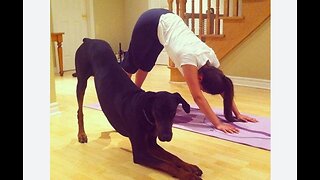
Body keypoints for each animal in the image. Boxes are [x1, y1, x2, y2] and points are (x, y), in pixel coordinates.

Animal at [75, 38, 202, 179]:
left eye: (173, 113)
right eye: (157, 112)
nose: (166, 137)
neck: (145, 114)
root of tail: (90, 40)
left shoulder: (152, 144)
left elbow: (173, 157)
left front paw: (190, 166)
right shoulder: (141, 153)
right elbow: (167, 164)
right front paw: (188, 175)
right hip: (82, 80)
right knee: (79, 110)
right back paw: (81, 134)